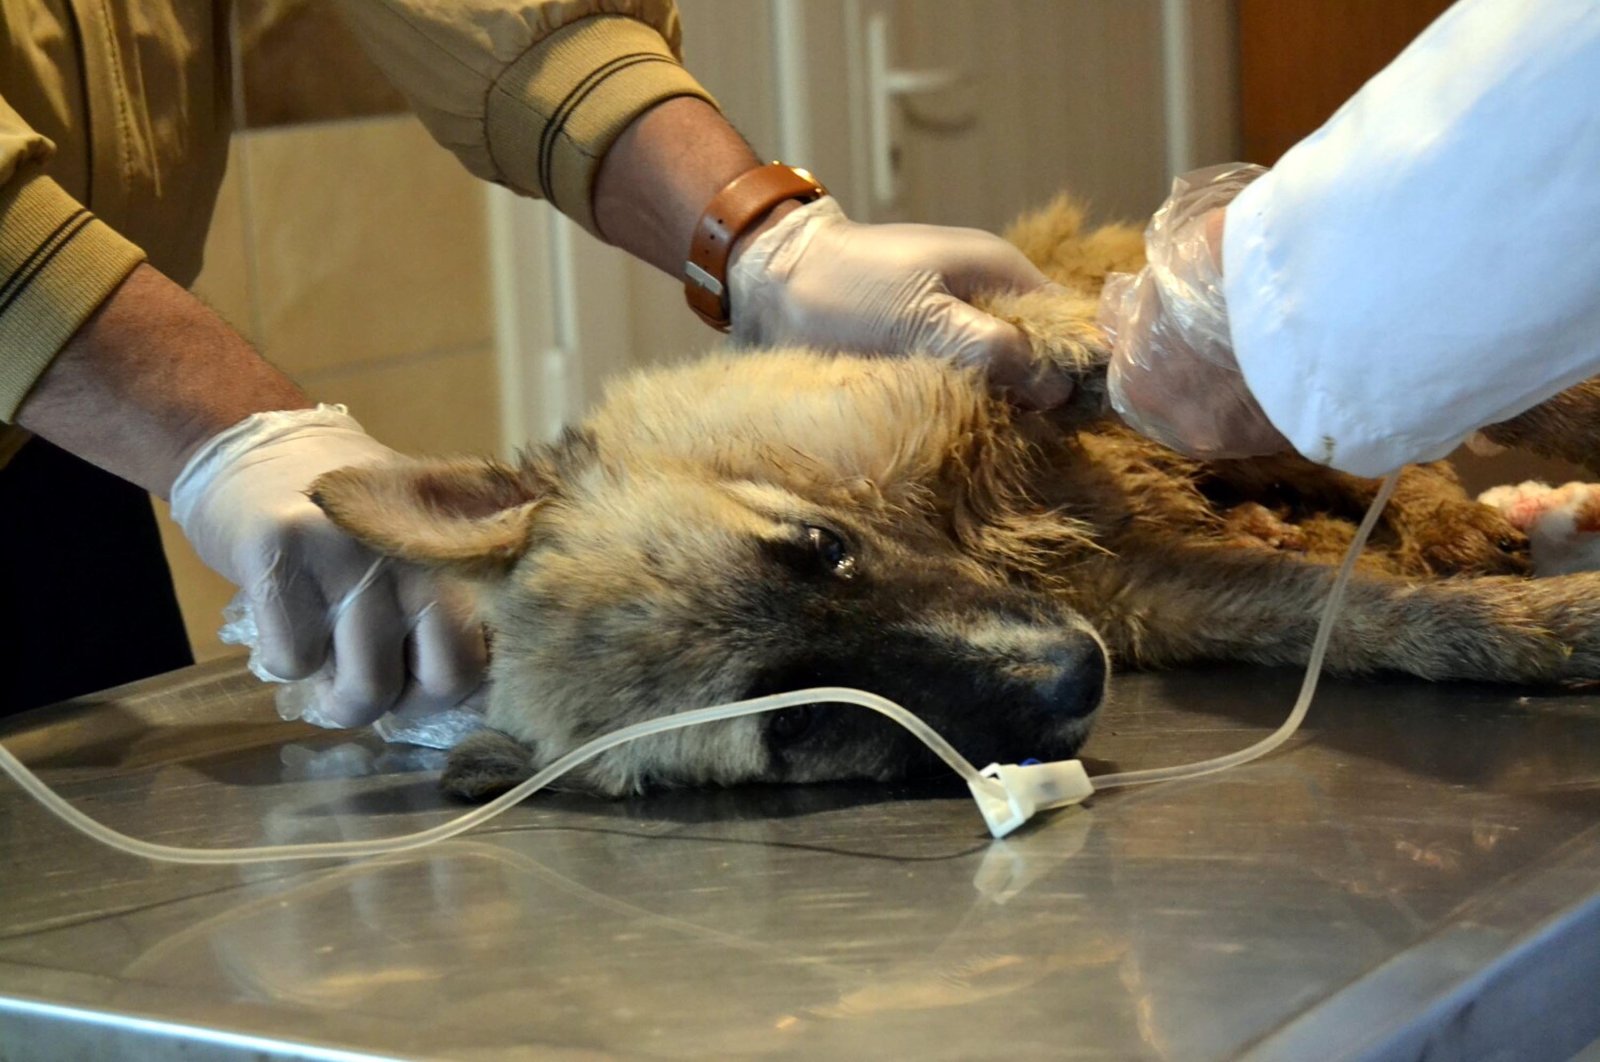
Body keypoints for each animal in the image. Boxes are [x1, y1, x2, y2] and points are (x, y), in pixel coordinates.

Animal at [305, 196, 1600, 796]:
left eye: (818, 546)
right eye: (803, 722)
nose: (1076, 675)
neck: (966, 524)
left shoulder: (1005, 381)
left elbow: (1084, 346)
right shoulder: (1153, 592)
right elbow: (1366, 619)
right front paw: (1534, 627)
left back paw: (1453, 509)